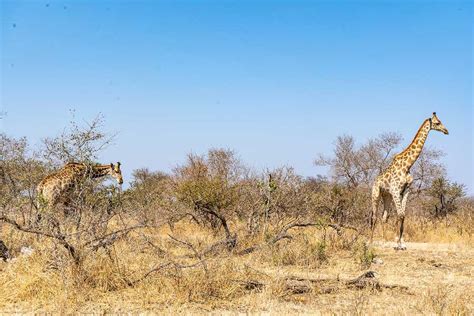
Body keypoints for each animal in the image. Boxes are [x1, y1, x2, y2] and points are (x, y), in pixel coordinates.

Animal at [370, 112, 448, 251]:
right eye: (437, 122)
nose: (446, 131)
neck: (408, 165)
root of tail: (375, 180)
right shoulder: (396, 190)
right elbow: (400, 214)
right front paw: (397, 244)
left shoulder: (406, 191)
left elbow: (403, 215)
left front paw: (402, 243)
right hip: (376, 194)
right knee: (374, 216)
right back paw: (370, 242)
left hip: (387, 196)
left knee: (384, 217)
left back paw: (384, 241)